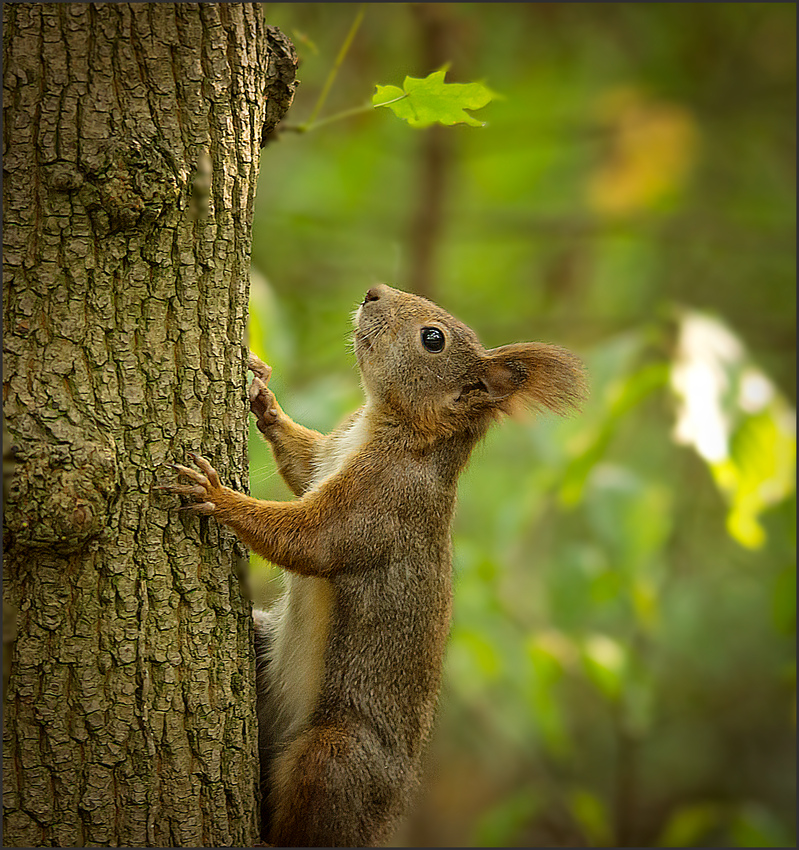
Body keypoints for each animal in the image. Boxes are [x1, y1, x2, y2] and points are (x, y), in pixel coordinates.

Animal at [158, 284, 588, 840]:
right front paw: (262, 395)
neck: (384, 427)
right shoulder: (327, 457)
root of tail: (388, 807)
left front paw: (216, 494)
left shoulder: (381, 505)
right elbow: (304, 463)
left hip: (336, 754)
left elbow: (308, 541)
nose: (373, 292)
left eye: (433, 339)